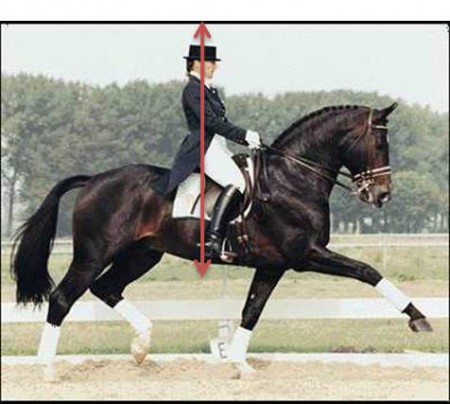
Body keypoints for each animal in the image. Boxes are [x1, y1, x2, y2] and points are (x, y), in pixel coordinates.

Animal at [10, 103, 432, 378]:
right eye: (379, 144)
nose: (381, 196)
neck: (293, 178)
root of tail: (93, 180)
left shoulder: (273, 265)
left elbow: (251, 310)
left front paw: (240, 364)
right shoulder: (306, 254)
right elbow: (367, 270)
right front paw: (418, 317)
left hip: (142, 255)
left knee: (107, 289)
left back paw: (142, 346)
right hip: (94, 253)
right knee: (63, 297)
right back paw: (47, 369)